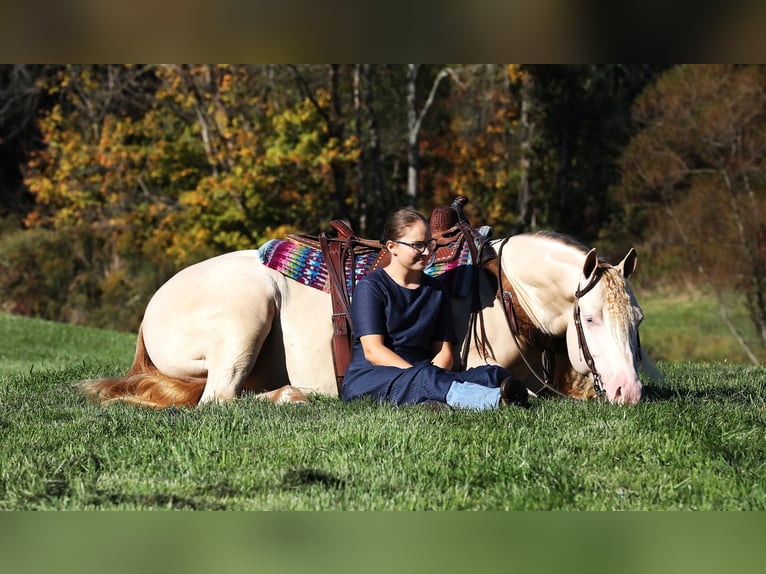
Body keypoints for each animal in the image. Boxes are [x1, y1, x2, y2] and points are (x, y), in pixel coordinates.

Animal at [81, 230, 652, 410]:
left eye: (638, 319)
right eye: (591, 318)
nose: (629, 391)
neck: (503, 291)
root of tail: (152, 307)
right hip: (247, 316)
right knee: (218, 399)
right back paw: (293, 396)